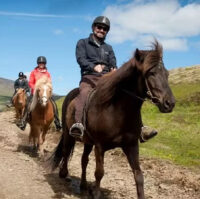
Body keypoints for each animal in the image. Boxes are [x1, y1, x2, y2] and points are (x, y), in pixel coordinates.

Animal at [48, 40, 175, 199]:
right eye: (151, 73)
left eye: (167, 73)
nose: (170, 103)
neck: (117, 112)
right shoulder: (100, 146)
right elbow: (99, 172)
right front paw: (96, 193)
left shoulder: (131, 145)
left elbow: (139, 175)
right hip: (68, 133)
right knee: (66, 151)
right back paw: (64, 173)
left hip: (88, 142)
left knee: (84, 160)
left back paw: (83, 185)